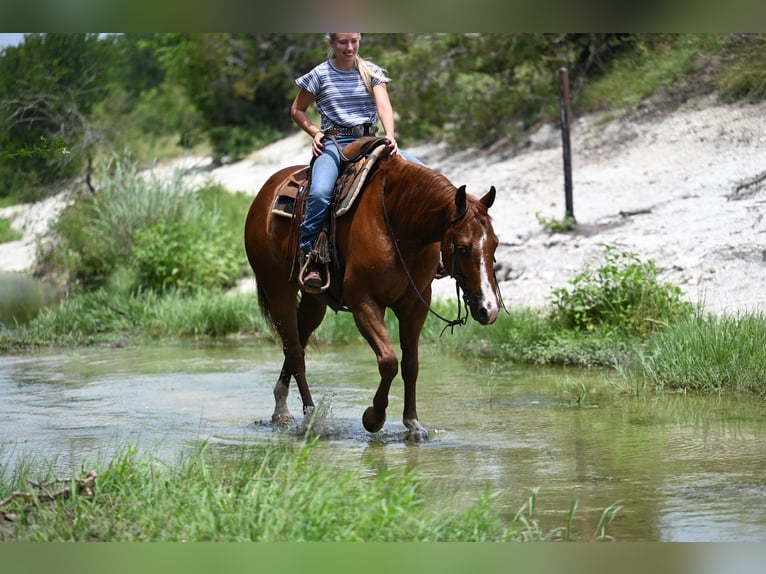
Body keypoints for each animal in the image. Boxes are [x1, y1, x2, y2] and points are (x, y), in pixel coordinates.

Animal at [243, 140, 501, 441]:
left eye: (494, 244)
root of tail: (266, 192)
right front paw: (373, 418)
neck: (399, 224)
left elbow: (411, 364)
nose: (489, 309)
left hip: (313, 299)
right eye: (462, 247)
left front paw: (413, 424)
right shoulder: (364, 303)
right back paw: (310, 418)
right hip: (278, 289)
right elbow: (388, 361)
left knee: (298, 341)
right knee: (295, 352)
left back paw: (281, 407)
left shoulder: (415, 305)